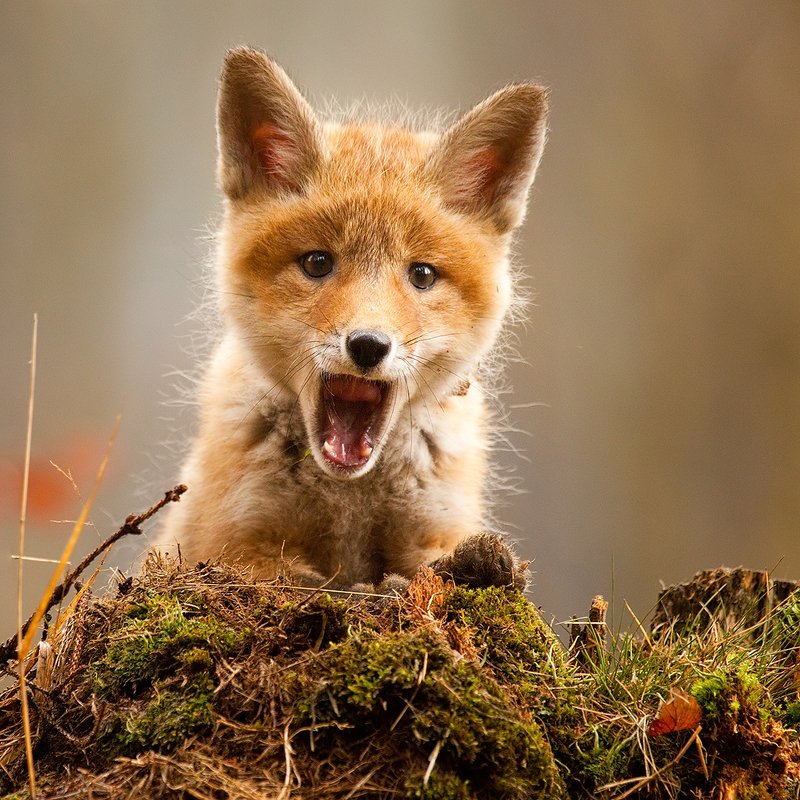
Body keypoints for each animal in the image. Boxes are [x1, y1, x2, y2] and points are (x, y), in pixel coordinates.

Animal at [155, 47, 549, 591]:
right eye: (318, 263)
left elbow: (441, 570)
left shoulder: (435, 530)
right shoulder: (231, 546)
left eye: (422, 274)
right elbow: (306, 581)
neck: (350, 501)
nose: (367, 345)